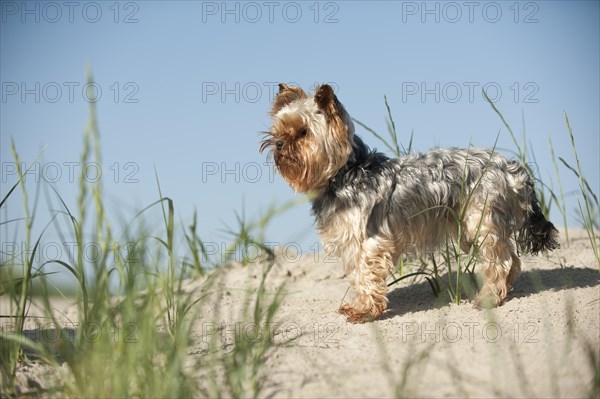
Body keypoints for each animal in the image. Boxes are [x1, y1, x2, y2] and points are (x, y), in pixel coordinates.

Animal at [260, 83, 560, 324]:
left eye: (303, 132)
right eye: (280, 130)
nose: (278, 144)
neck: (345, 173)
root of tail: (513, 169)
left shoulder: (368, 241)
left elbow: (365, 275)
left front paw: (365, 311)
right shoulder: (351, 244)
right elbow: (356, 276)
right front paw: (359, 306)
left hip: (480, 219)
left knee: (502, 260)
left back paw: (488, 297)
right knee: (512, 259)